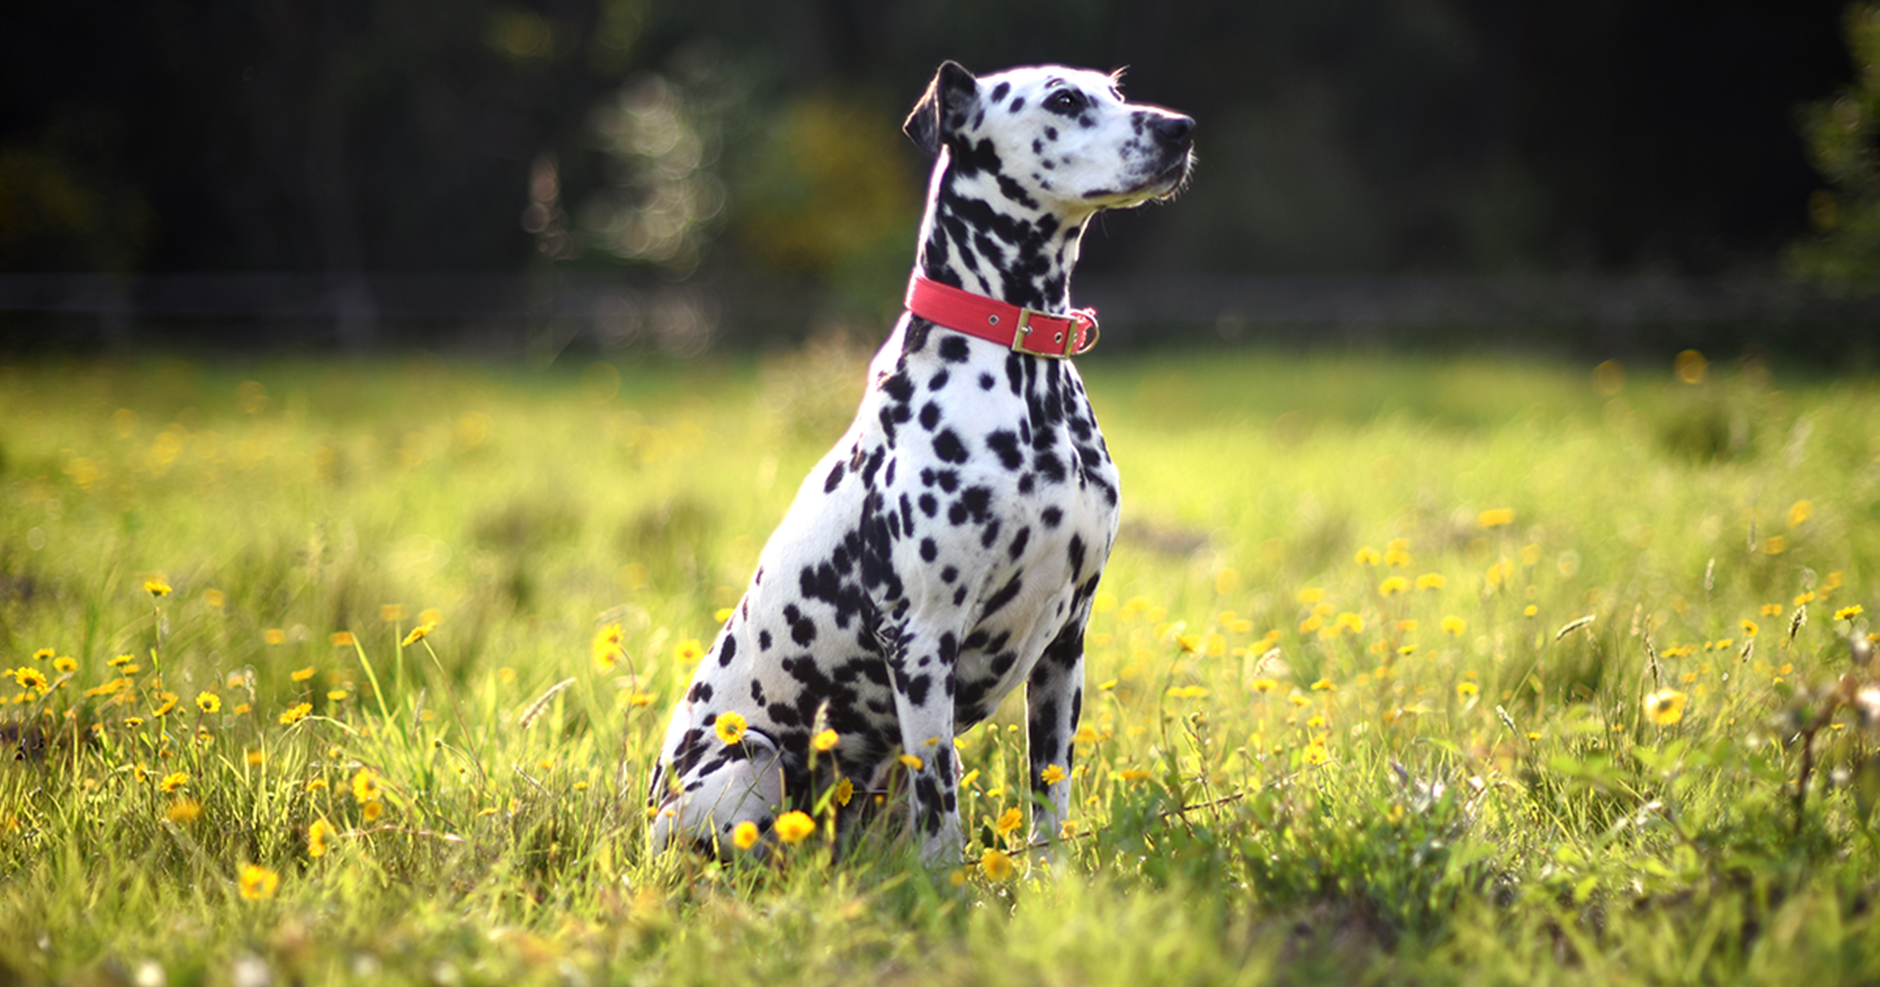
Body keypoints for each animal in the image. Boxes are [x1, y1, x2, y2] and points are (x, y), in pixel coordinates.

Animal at [646, 61, 1195, 861]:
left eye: (1117, 92)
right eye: (1064, 99)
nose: (1180, 129)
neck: (1021, 366)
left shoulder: (1066, 644)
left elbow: (1050, 797)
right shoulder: (922, 642)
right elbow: (942, 812)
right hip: (750, 761)